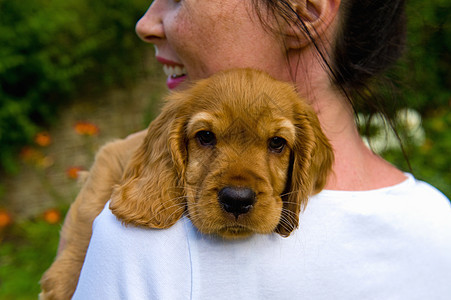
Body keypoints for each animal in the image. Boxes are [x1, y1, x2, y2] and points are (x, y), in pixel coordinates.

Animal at [39, 69, 332, 298]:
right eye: (205, 136)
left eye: (277, 143)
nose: (237, 200)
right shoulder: (110, 157)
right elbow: (87, 212)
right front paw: (64, 279)